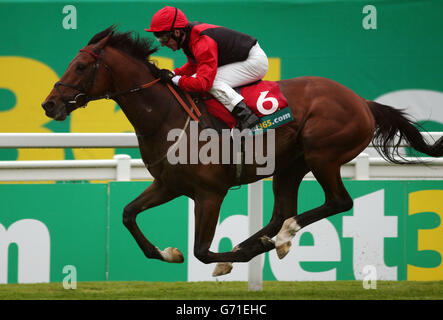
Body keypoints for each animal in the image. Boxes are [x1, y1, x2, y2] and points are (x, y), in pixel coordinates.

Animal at [41, 27, 443, 276]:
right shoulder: (169, 185)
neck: (166, 116)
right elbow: (128, 214)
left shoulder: (209, 193)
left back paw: (279, 238)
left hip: (323, 155)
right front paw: (169, 253)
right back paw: (269, 239)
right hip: (290, 166)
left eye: (80, 65)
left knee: (336, 203)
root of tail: (362, 102)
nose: (48, 104)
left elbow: (202, 250)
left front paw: (228, 258)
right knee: (281, 213)